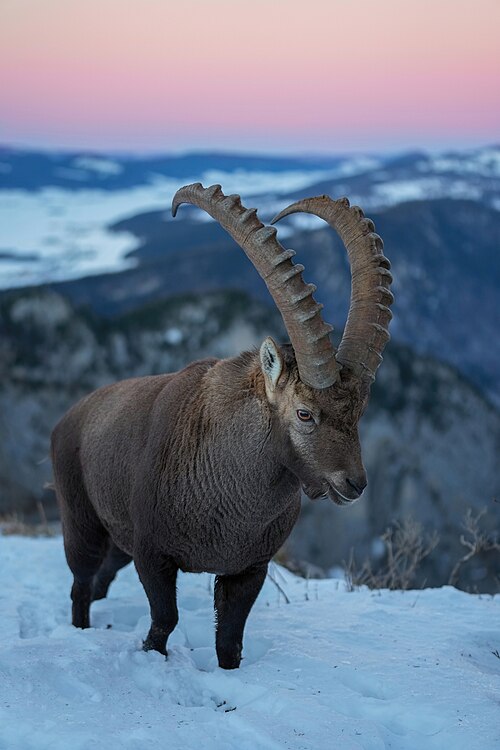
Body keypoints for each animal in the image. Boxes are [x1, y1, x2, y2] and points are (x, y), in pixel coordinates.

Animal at [51, 184, 393, 669]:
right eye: (304, 413)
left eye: (360, 412)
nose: (354, 484)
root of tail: (70, 417)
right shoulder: (154, 555)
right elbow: (164, 621)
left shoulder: (249, 567)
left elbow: (230, 641)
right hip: (82, 521)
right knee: (81, 583)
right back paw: (81, 631)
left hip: (119, 543)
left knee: (100, 580)